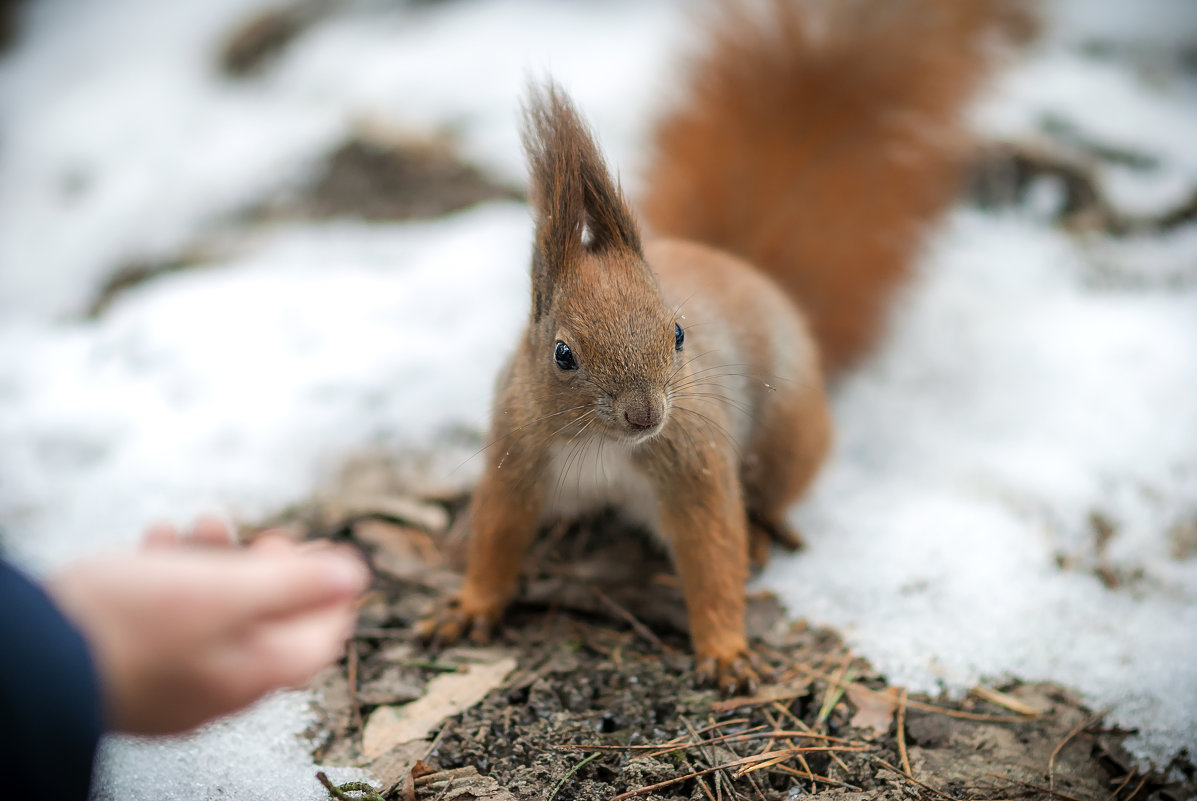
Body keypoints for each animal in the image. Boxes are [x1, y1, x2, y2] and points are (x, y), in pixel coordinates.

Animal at [416, 0, 1024, 689]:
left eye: (679, 333)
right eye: (562, 354)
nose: (645, 415)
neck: (605, 448)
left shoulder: (693, 462)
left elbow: (712, 552)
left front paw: (727, 650)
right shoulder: (516, 455)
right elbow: (497, 533)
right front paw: (468, 608)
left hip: (784, 437)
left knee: (766, 500)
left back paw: (762, 533)